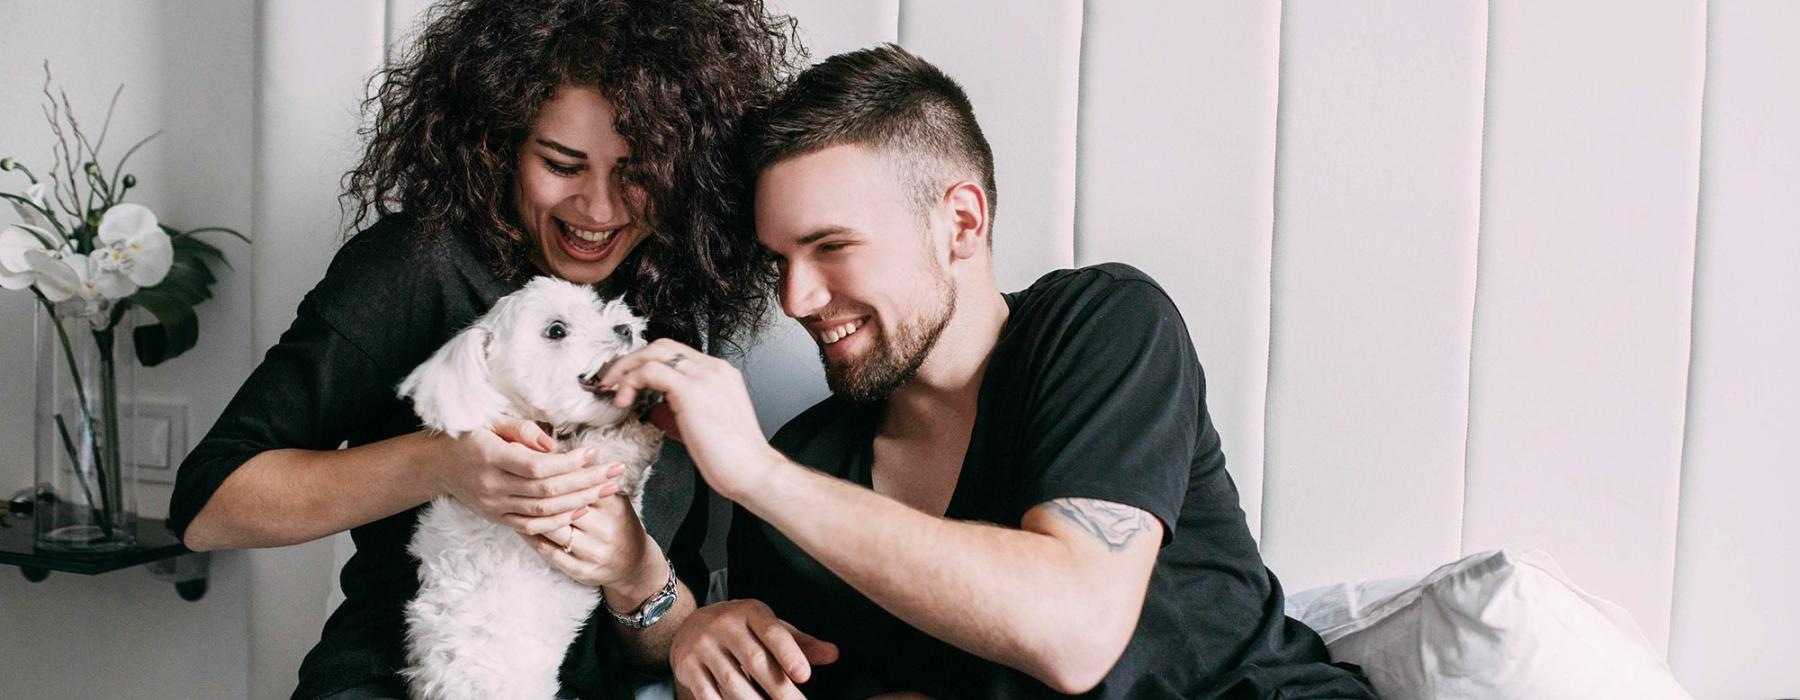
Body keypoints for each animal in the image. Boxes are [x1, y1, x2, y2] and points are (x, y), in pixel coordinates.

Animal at [397, 277, 666, 698]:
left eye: (593, 307)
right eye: (556, 330)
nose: (625, 328)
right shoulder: (584, 479)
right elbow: (619, 451)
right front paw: (643, 416)